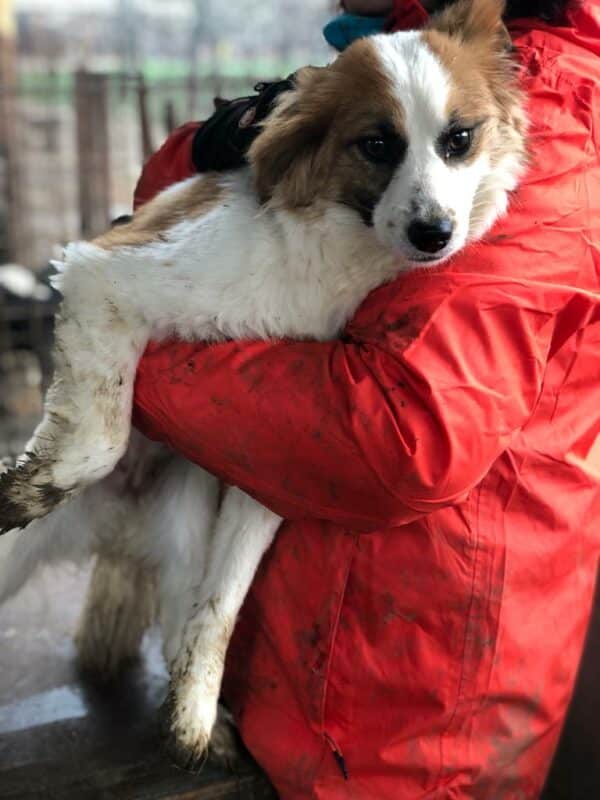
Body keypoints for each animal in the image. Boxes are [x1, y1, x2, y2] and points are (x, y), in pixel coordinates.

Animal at [0, 0, 524, 776]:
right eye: (376, 144)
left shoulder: (267, 450)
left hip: (184, 532)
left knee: (191, 604)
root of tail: (114, 530)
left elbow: (222, 608)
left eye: (459, 139)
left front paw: (193, 717)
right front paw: (31, 485)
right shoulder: (107, 273)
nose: (436, 234)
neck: (327, 254)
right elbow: (103, 435)